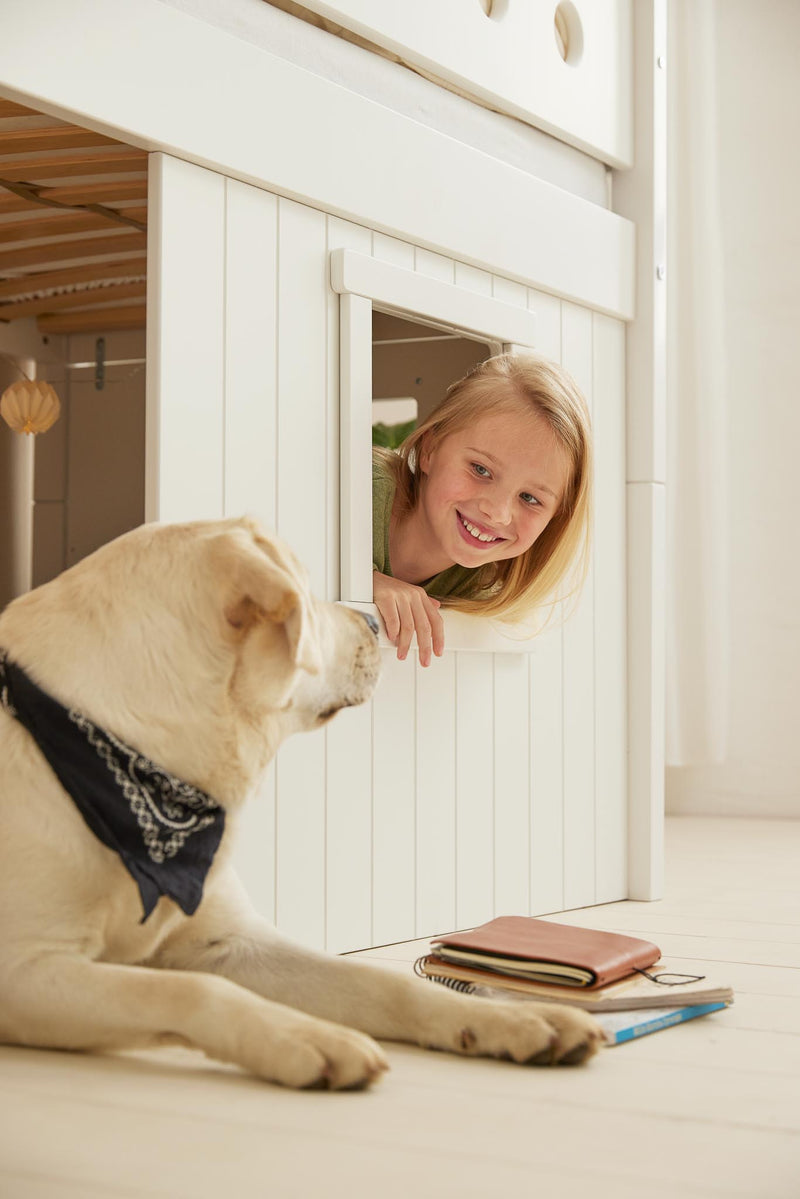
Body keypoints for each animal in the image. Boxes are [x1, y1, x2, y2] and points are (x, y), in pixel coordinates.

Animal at [0, 515, 599, 1088]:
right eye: (306, 596)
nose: (373, 622)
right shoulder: (25, 970)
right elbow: (191, 991)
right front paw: (308, 1038)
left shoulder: (229, 942)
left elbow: (381, 980)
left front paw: (519, 1018)